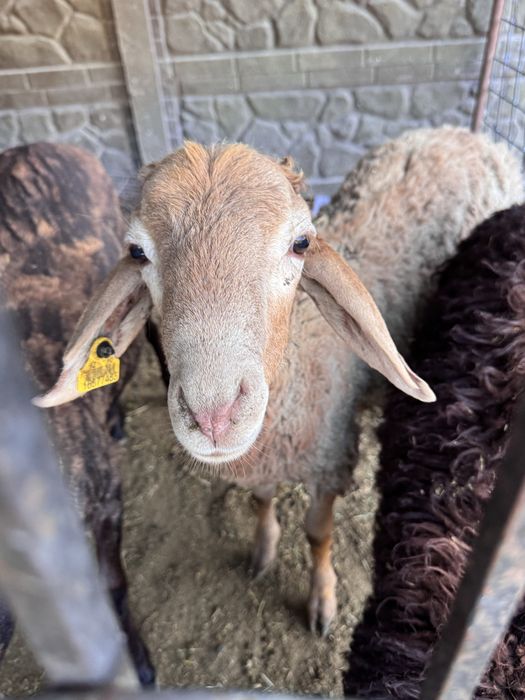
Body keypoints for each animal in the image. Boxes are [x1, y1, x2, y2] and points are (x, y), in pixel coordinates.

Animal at [35, 127, 523, 634]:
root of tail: (467, 135)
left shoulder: (329, 461)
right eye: (137, 252)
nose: (213, 416)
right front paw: (264, 547)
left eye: (301, 243)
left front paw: (322, 599)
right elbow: (261, 499)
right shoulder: (263, 461)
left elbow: (317, 534)